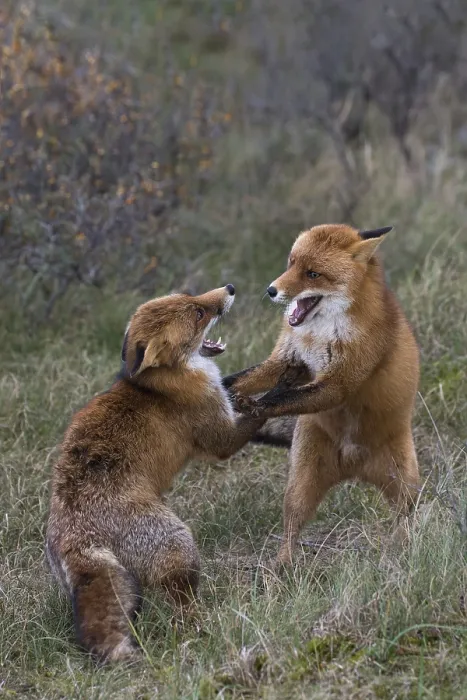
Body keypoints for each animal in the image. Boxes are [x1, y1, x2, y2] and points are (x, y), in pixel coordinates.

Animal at [46, 285, 266, 663]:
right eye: (198, 313)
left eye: (192, 296)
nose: (230, 288)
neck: (162, 382)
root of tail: (76, 533)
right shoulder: (219, 438)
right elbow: (260, 412)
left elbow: (241, 380)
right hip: (179, 547)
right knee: (183, 603)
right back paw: (200, 628)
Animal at [223, 224, 421, 565]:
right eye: (291, 264)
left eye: (313, 274)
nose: (271, 290)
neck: (319, 335)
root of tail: (354, 469)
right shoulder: (285, 359)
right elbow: (241, 380)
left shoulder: (339, 383)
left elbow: (280, 400)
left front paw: (255, 405)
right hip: (300, 487)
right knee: (291, 528)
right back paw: (281, 568)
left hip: (405, 485)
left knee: (404, 519)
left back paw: (406, 551)